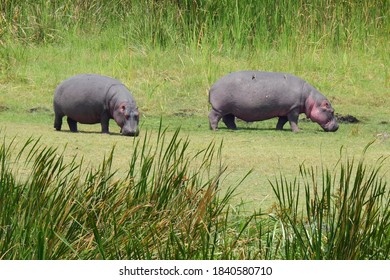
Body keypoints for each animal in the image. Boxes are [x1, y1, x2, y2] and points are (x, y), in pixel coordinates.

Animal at [209, 71, 340, 132]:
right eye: (332, 111)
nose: (337, 126)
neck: (310, 98)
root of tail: (213, 86)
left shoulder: (287, 109)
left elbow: (282, 121)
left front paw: (279, 129)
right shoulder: (294, 108)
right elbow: (293, 120)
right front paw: (298, 131)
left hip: (230, 109)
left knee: (228, 119)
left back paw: (236, 129)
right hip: (220, 108)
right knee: (213, 116)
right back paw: (215, 129)